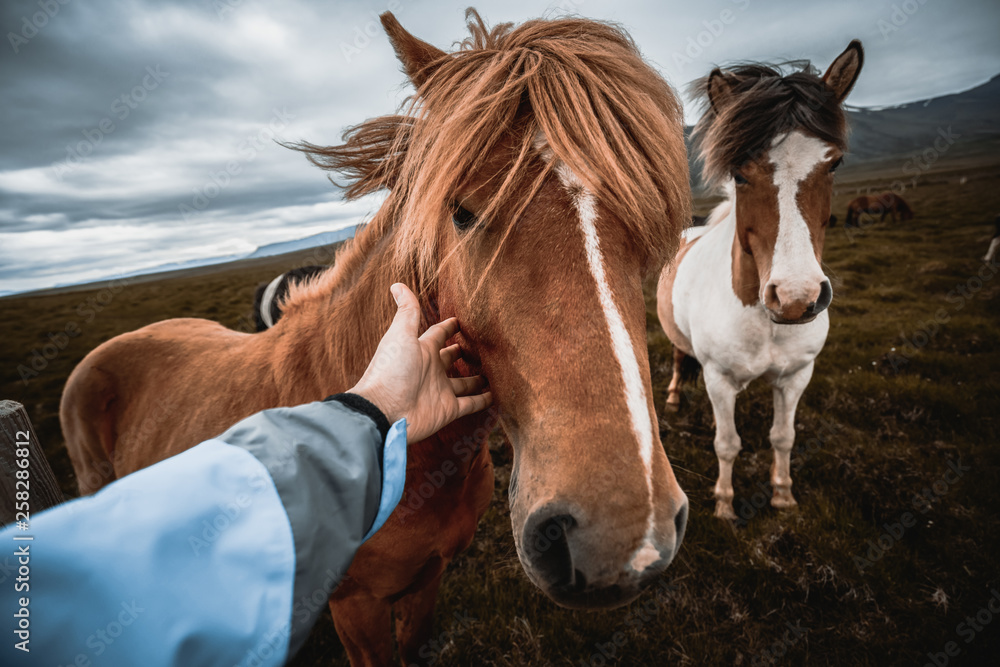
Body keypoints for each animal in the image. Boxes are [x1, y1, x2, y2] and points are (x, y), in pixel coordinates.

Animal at [660, 41, 864, 520]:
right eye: (738, 172)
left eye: (835, 163)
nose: (795, 297)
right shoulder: (717, 380)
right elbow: (727, 443)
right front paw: (724, 504)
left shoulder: (797, 376)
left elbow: (782, 437)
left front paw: (783, 494)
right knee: (678, 357)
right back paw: (674, 397)